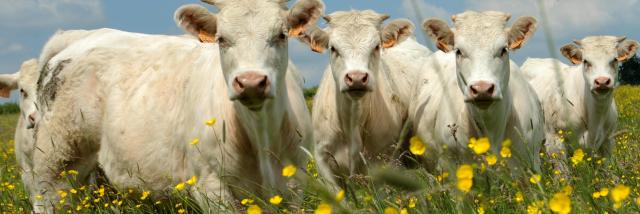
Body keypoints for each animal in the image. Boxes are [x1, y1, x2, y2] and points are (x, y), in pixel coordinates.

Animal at [30, 0, 320, 211]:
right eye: (221, 39)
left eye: (281, 35)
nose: (250, 82)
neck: (260, 137)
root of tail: (78, 38)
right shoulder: (210, 185)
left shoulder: (294, 186)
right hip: (55, 165)